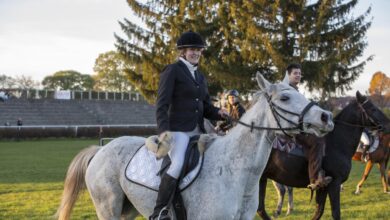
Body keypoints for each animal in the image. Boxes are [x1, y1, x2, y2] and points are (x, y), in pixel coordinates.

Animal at [258, 91, 388, 220]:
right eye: (372, 108)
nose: (387, 124)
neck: (336, 142)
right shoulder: (334, 183)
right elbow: (335, 213)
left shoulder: (323, 188)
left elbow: (318, 212)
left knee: (262, 208)